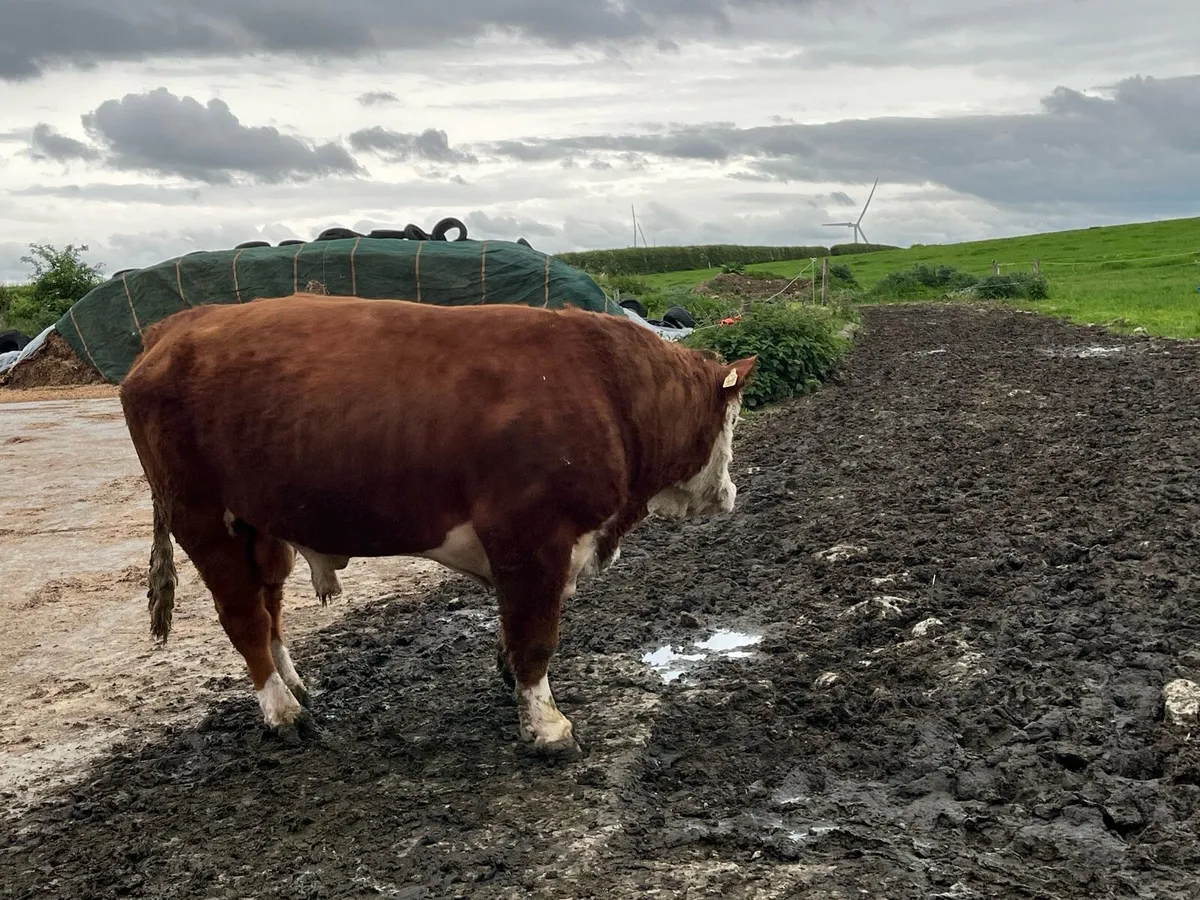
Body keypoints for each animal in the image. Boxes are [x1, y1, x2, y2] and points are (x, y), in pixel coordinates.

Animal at [119, 292, 757, 758]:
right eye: (731, 417)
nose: (729, 495)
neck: (608, 389)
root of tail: (174, 328)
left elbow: (518, 630)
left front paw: (511, 681)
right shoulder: (530, 536)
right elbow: (536, 635)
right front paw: (547, 728)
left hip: (263, 524)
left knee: (269, 605)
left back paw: (297, 685)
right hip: (201, 517)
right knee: (243, 617)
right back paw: (285, 714)